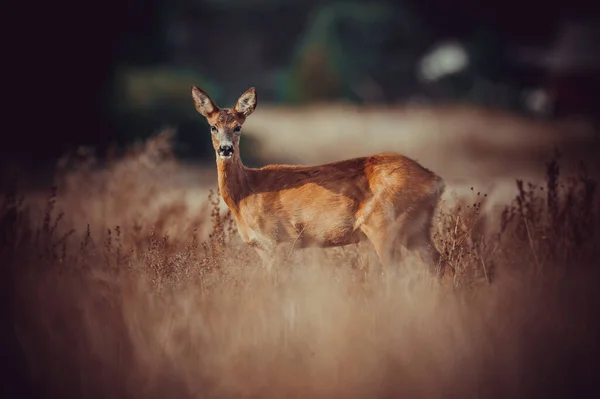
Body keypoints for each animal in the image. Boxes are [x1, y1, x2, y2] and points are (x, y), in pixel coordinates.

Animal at [191, 85, 446, 276]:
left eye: (238, 127)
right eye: (213, 126)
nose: (226, 149)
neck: (246, 194)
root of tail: (436, 180)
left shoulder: (279, 239)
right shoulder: (262, 248)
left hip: (384, 225)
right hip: (416, 228)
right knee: (439, 263)